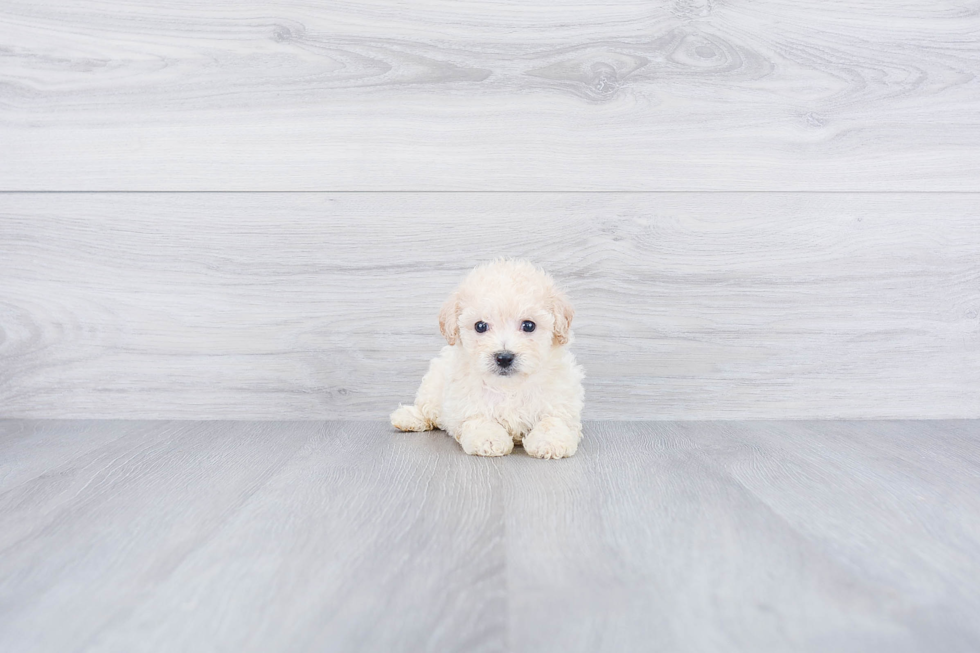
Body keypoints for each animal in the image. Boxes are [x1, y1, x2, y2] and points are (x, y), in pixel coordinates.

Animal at [390, 260, 584, 458]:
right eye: (480, 326)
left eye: (529, 325)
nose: (504, 357)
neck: (508, 387)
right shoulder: (467, 406)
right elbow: (480, 421)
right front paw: (489, 440)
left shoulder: (560, 402)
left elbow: (554, 421)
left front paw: (550, 441)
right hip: (433, 385)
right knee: (426, 408)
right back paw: (408, 418)